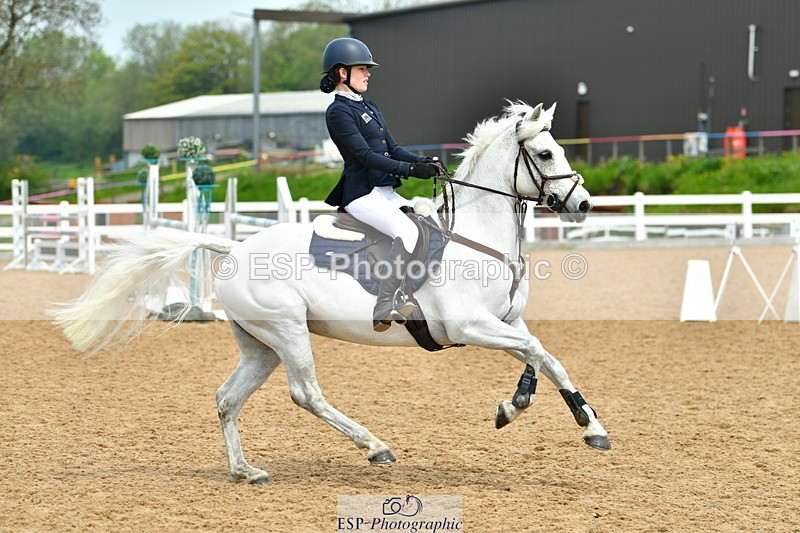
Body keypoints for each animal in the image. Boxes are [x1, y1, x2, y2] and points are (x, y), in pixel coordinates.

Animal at [52, 101, 610, 485]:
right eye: (545, 153)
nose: (583, 203)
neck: (477, 236)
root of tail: (234, 248)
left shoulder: (506, 322)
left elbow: (546, 357)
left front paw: (578, 422)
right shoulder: (470, 326)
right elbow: (537, 352)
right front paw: (518, 406)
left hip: (260, 345)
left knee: (228, 398)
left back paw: (246, 471)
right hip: (287, 331)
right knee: (306, 393)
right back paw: (374, 446)